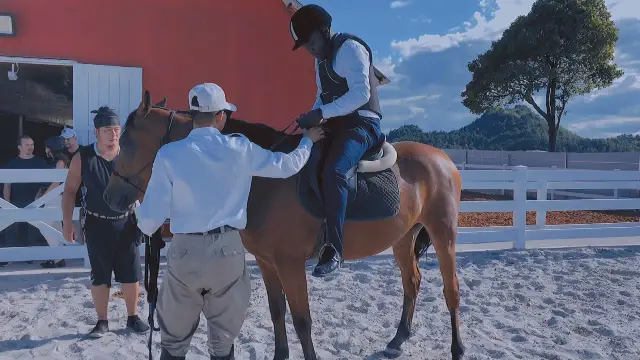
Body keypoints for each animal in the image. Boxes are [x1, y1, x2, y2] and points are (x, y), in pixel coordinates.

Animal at [102, 91, 468, 360]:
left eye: (128, 143)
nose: (111, 197)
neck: (263, 177)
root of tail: (443, 158)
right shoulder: (267, 262)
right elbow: (277, 312)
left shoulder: (290, 264)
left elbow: (302, 320)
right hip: (403, 238)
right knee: (412, 283)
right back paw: (398, 340)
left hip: (443, 233)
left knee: (451, 290)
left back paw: (457, 348)